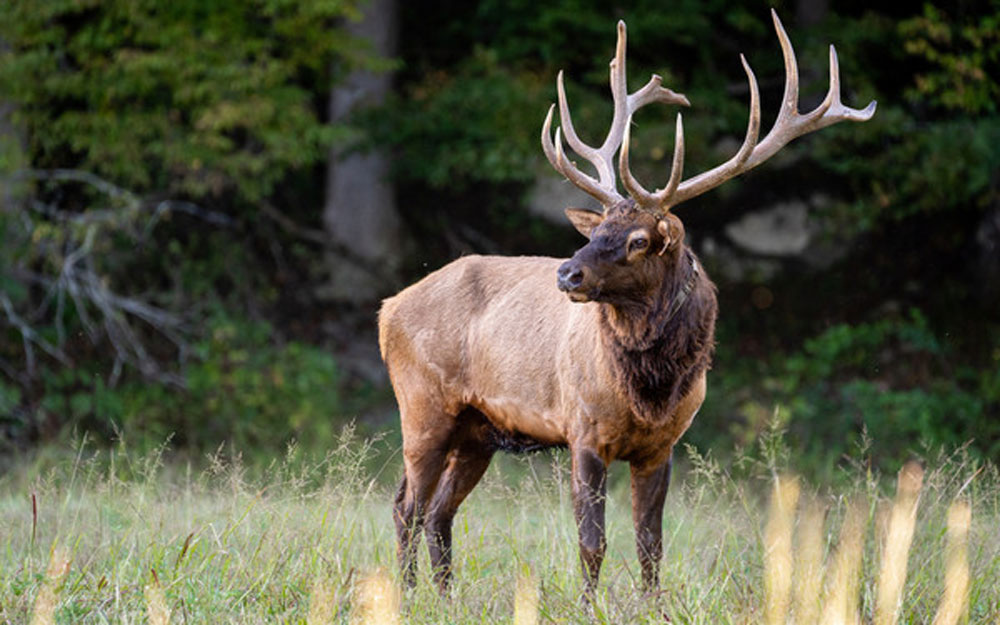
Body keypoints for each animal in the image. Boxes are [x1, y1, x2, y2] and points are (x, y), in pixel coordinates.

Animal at [378, 9, 875, 601]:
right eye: (597, 230)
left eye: (639, 240)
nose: (567, 272)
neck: (649, 392)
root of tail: (386, 309)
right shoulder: (583, 430)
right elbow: (592, 542)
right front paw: (589, 606)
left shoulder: (663, 444)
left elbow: (650, 544)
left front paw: (654, 606)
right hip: (422, 406)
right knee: (406, 505)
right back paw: (407, 596)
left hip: (478, 430)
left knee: (438, 512)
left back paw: (444, 596)